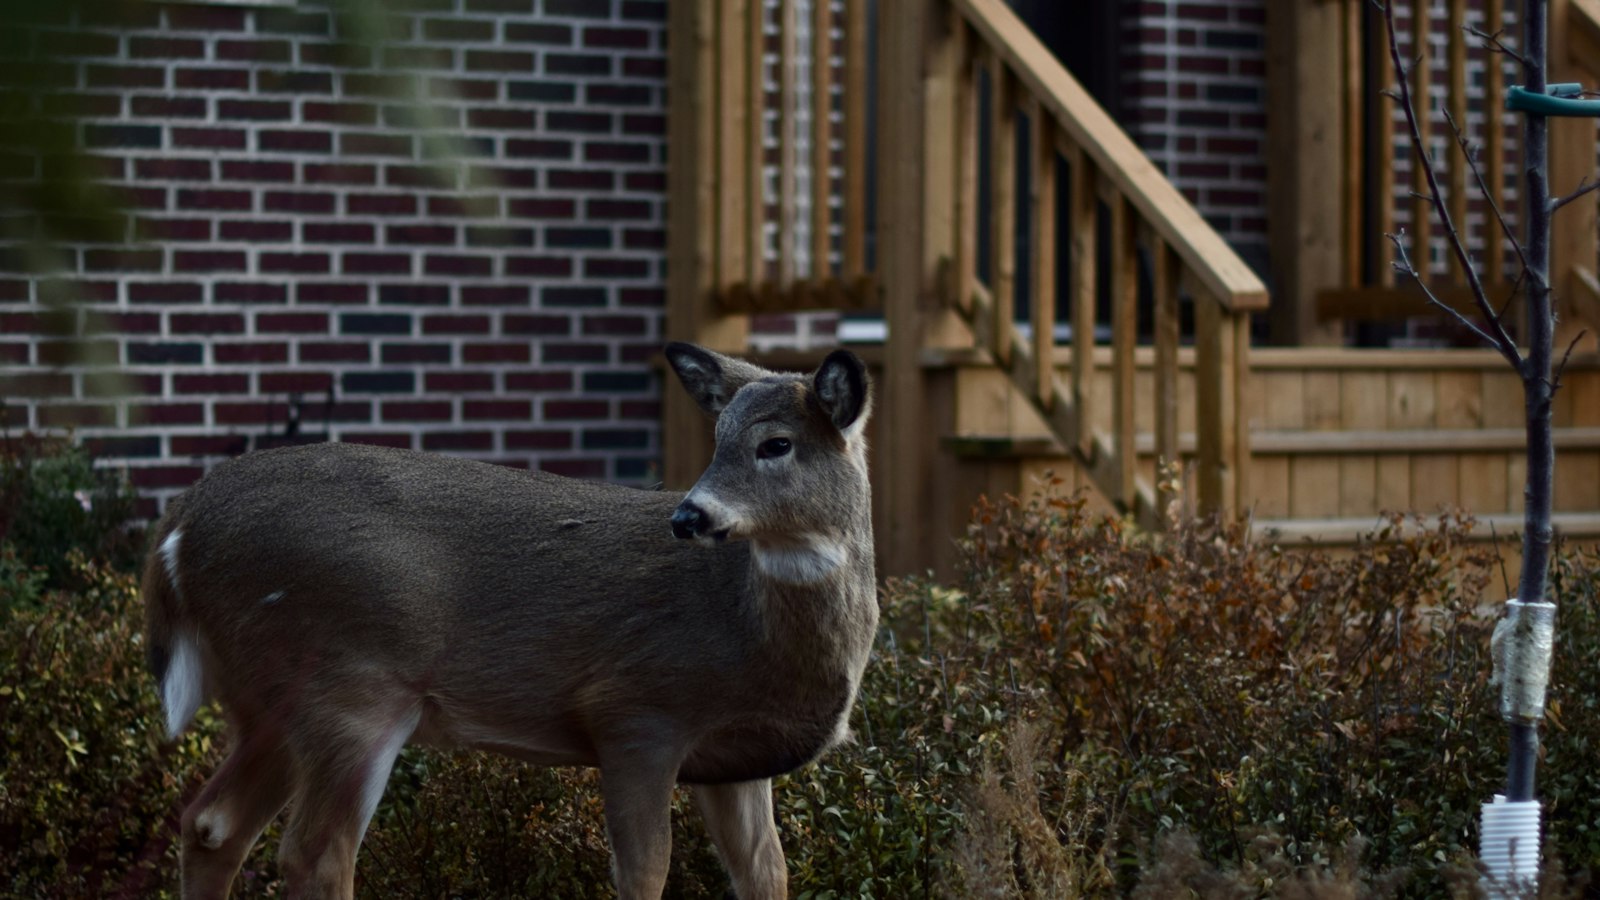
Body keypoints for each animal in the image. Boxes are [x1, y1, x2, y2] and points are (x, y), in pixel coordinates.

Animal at [140, 343, 878, 900]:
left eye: (776, 444)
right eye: (719, 440)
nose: (688, 515)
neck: (754, 634)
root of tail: (177, 528)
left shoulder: (737, 761)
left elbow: (766, 874)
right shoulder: (636, 710)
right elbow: (645, 873)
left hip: (269, 699)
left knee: (211, 824)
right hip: (348, 685)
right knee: (313, 853)